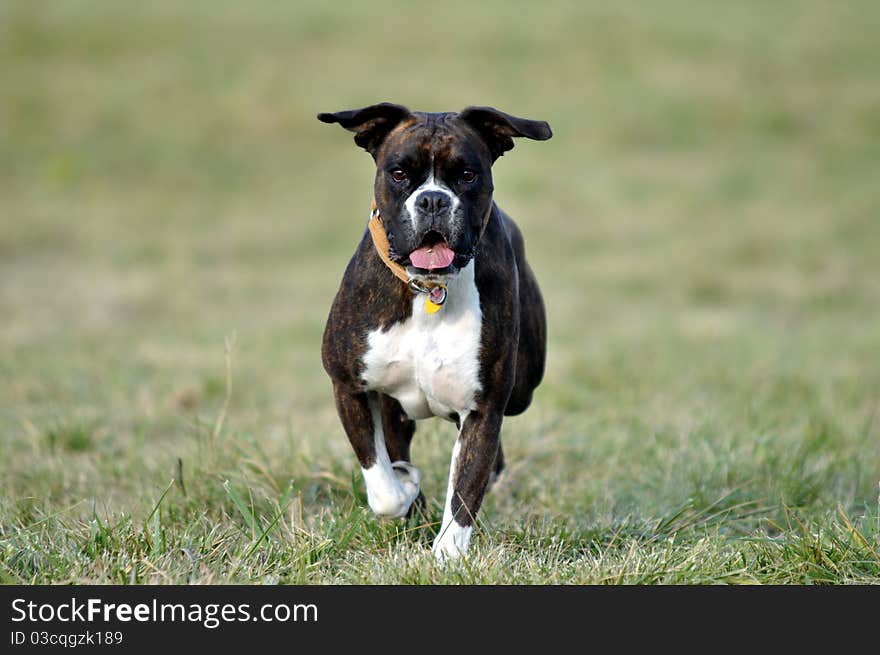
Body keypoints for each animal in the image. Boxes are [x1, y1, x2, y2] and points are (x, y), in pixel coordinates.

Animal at [316, 102, 552, 560]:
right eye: (398, 173)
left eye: (467, 174)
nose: (432, 199)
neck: (429, 289)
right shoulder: (348, 386)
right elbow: (383, 485)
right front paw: (406, 486)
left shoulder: (483, 409)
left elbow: (465, 490)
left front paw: (446, 557)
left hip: (521, 390)